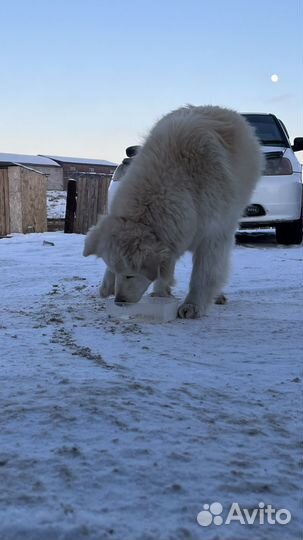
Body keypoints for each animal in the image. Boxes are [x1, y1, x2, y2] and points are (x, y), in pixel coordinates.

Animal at [83, 104, 264, 318]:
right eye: (114, 269)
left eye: (130, 275)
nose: (120, 301)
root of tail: (221, 109)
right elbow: (165, 271)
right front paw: (160, 293)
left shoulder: (212, 235)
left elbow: (204, 274)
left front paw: (193, 305)